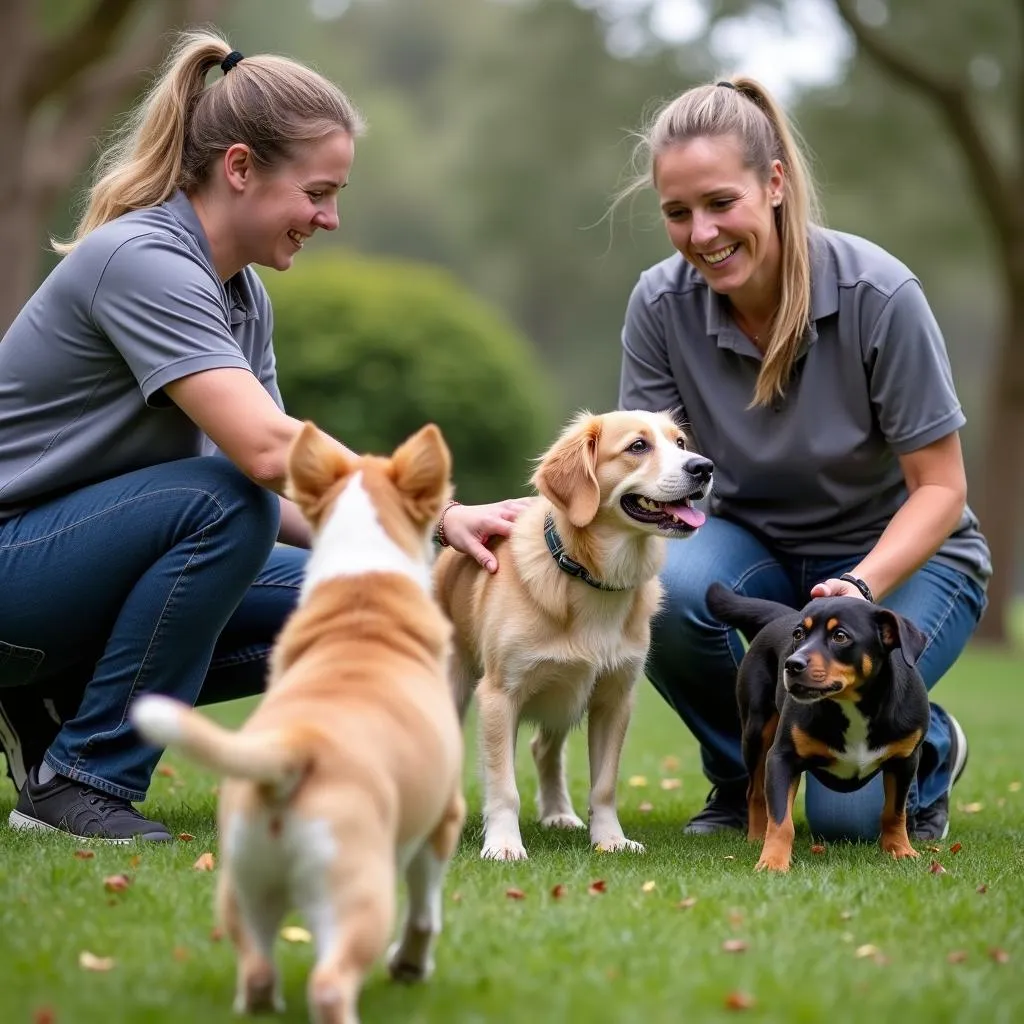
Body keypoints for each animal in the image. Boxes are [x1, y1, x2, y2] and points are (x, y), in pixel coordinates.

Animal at [131, 421, 464, 1024]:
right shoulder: (443, 817)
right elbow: (426, 910)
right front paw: (410, 966)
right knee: (331, 982)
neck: (363, 599)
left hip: (241, 884)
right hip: (358, 893)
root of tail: (295, 747)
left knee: (259, 971)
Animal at [432, 411, 712, 860]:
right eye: (638, 446)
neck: (591, 578)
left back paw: (558, 813)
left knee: (543, 749)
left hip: (563, 691)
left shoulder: (614, 697)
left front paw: (609, 839)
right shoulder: (499, 695)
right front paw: (504, 844)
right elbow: (503, 786)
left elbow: (604, 786)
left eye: (681, 443)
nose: (704, 468)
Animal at [708, 585, 933, 872]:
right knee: (755, 792)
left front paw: (900, 850)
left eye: (840, 636)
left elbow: (895, 812)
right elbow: (781, 820)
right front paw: (773, 861)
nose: (792, 664)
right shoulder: (782, 758)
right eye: (798, 634)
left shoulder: (905, 760)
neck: (853, 706)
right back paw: (757, 837)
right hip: (755, 732)